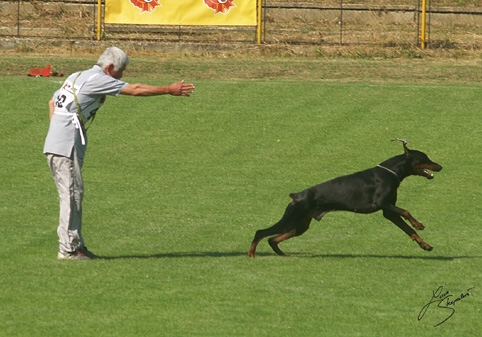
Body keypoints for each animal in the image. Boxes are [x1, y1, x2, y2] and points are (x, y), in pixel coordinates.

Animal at [250, 139, 442, 258]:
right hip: (291, 219)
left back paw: (283, 255)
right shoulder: (383, 203)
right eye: (424, 158)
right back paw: (251, 254)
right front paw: (418, 224)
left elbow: (409, 230)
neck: (391, 172)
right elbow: (406, 212)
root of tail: (296, 196)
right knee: (261, 233)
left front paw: (425, 245)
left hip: (299, 225)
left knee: (272, 239)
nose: (440, 166)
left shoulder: (389, 212)